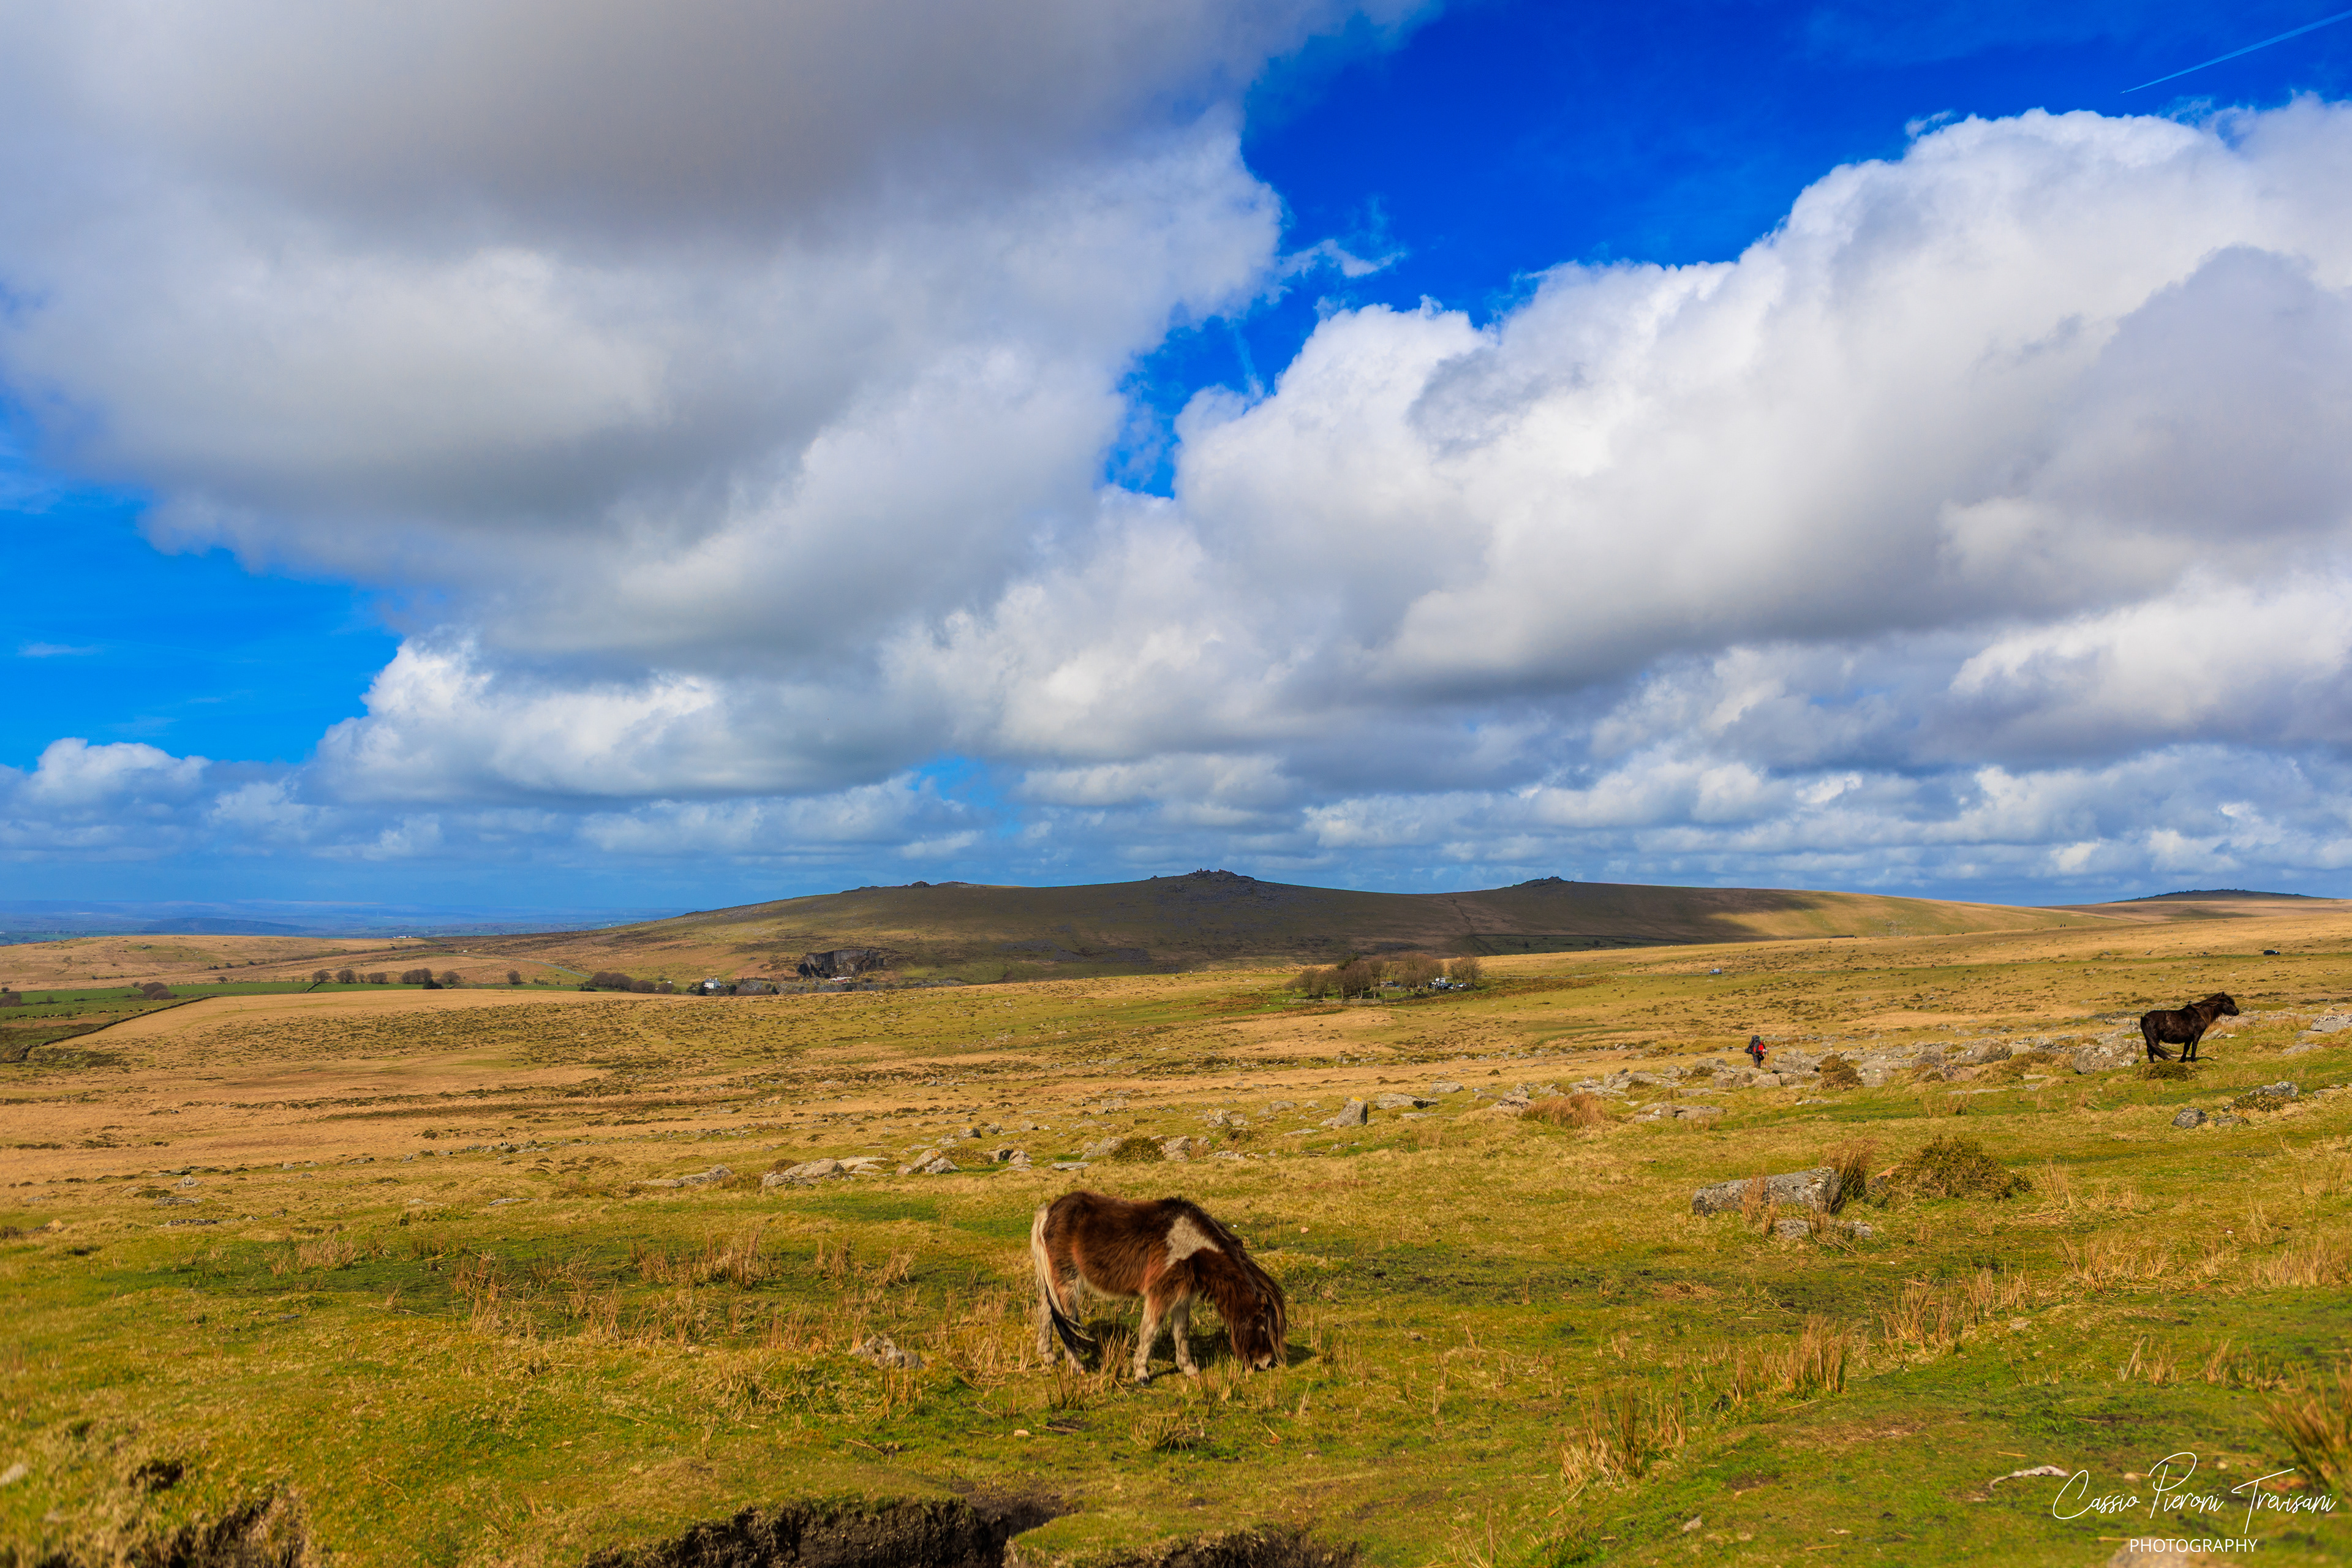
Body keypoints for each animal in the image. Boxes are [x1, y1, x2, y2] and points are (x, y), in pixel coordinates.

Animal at [1031, 1191, 1287, 1382]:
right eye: (1263, 1327)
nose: (1266, 1364)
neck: (1193, 1247)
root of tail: (1048, 1212)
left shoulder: (1183, 1297)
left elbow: (1181, 1333)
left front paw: (1189, 1369)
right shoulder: (1161, 1293)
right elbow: (1150, 1330)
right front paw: (1141, 1373)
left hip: (1053, 1282)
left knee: (1045, 1311)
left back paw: (1048, 1357)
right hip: (1067, 1281)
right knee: (1063, 1318)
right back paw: (1076, 1366)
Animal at [2140, 993, 2239, 1062]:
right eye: (2229, 1002)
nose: (2237, 1012)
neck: (2200, 1014)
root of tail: (2144, 1018)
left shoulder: (2188, 1038)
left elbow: (2186, 1048)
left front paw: (2182, 1060)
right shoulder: (2197, 1035)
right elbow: (2194, 1047)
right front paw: (2193, 1060)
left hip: (2149, 1040)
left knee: (2150, 1051)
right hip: (2154, 1038)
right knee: (2151, 1051)